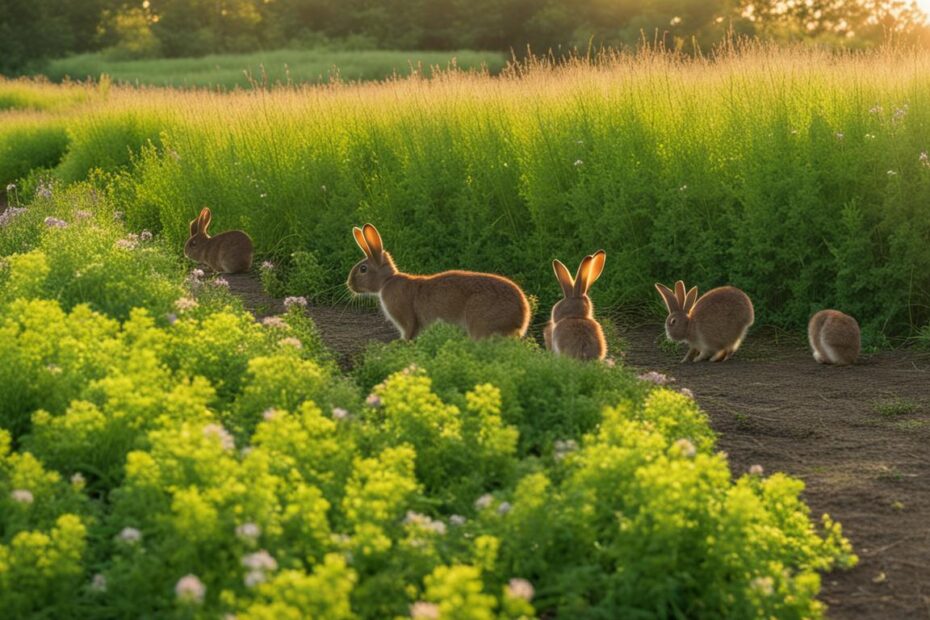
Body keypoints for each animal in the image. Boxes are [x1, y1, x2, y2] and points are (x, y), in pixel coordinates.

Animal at [346, 223, 530, 340]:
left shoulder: (407, 320)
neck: (387, 281)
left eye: (363, 269)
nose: (349, 285)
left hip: (480, 322)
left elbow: (409, 333)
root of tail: (522, 315)